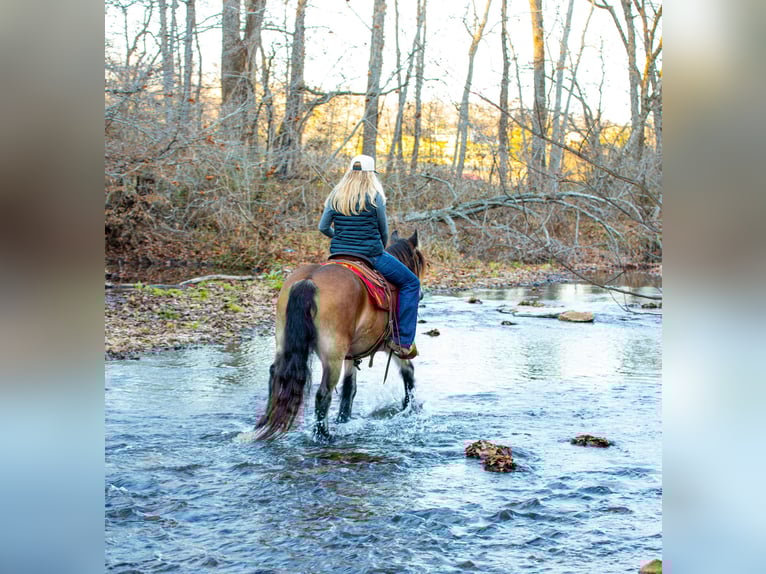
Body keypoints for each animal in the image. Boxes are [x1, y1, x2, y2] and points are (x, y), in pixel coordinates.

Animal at [254, 230, 426, 441]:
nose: (421, 294)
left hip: (283, 343)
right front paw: (409, 406)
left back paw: (264, 423)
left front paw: (344, 419)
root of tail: (309, 281)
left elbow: (349, 388)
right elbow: (408, 372)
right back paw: (323, 435)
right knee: (323, 394)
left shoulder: (351, 354)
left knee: (275, 376)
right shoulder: (391, 344)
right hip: (332, 355)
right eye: (419, 263)